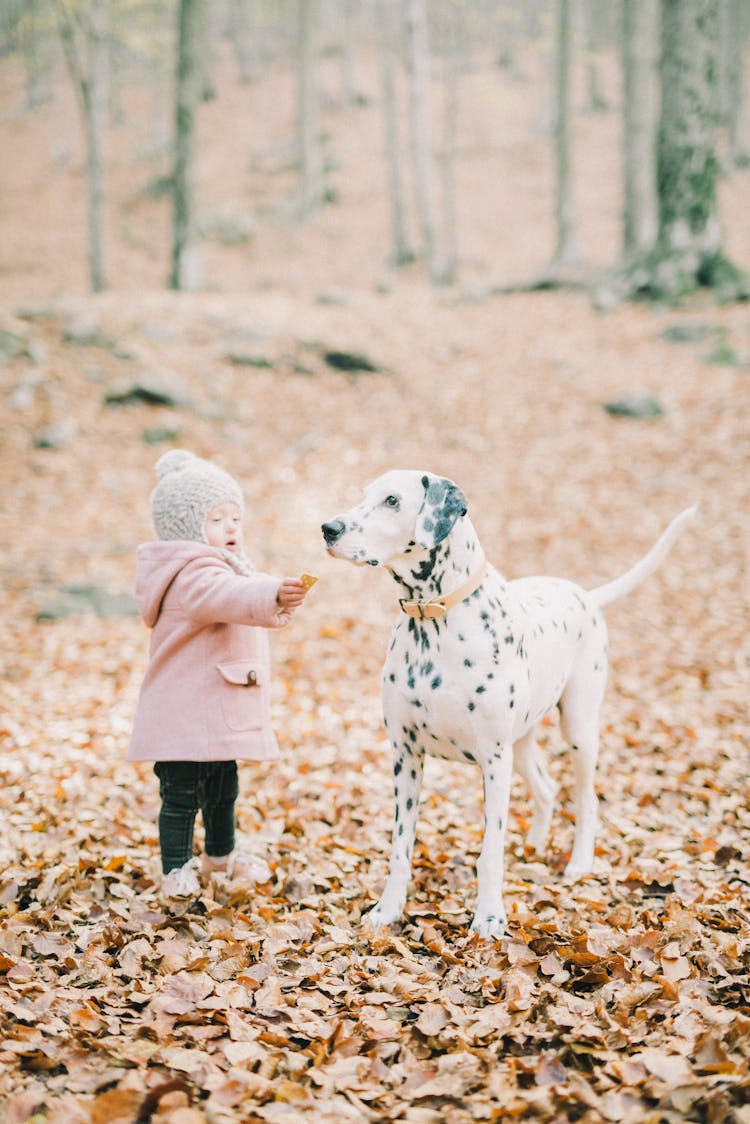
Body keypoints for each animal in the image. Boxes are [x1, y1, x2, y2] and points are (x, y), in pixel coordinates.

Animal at [319, 472, 697, 939]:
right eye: (364, 494)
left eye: (392, 500)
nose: (329, 528)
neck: (437, 620)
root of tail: (584, 594)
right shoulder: (405, 756)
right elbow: (400, 847)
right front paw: (387, 910)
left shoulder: (493, 760)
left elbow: (490, 852)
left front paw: (489, 917)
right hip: (521, 743)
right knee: (547, 788)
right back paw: (534, 845)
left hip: (577, 730)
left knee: (587, 799)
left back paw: (579, 863)